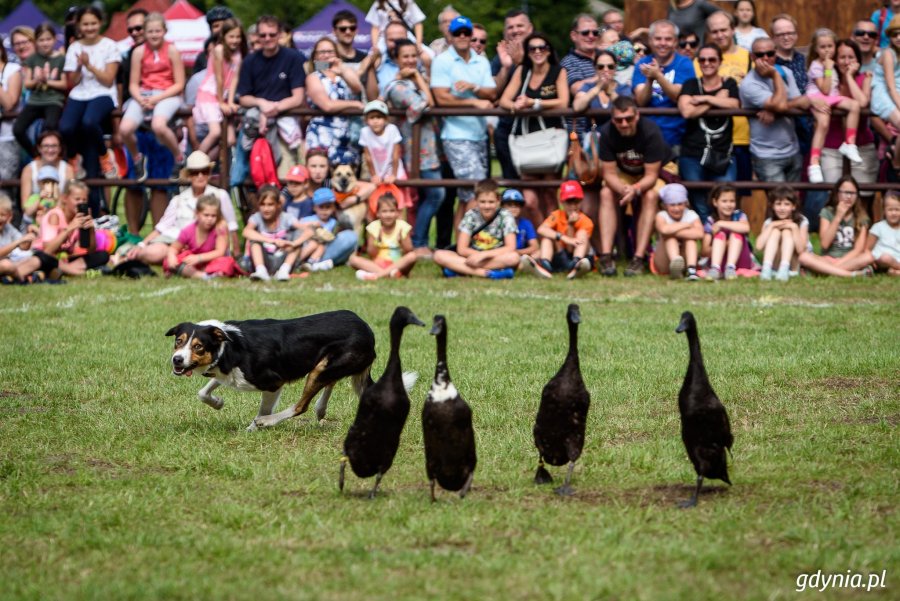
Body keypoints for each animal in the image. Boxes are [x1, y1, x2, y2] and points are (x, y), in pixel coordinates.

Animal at [165, 310, 376, 432]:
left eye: (198, 347)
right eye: (179, 341)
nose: (177, 360)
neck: (230, 346)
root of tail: (367, 329)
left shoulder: (273, 382)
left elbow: (263, 410)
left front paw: (253, 428)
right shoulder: (224, 372)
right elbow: (202, 393)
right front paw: (217, 403)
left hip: (321, 370)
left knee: (301, 406)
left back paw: (269, 421)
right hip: (326, 366)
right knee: (331, 382)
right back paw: (321, 409)